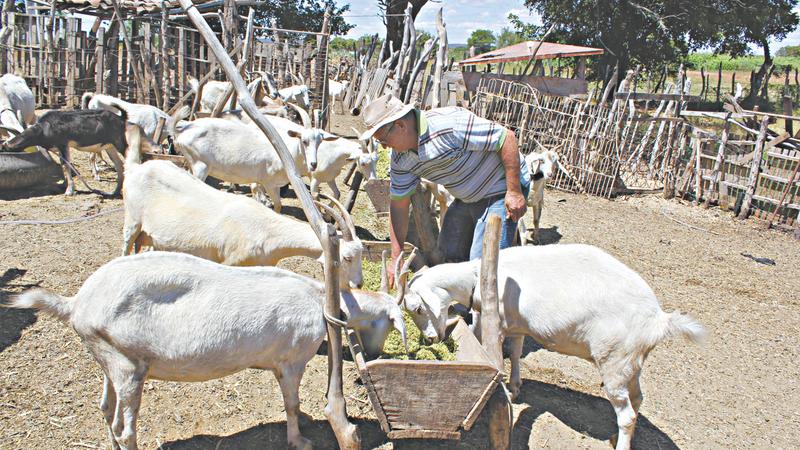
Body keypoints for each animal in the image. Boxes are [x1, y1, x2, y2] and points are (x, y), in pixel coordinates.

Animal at [11, 251, 410, 450]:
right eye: (390, 323)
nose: (375, 354)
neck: (321, 300)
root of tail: (77, 304)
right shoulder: (292, 359)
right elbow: (292, 403)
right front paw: (300, 441)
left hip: (109, 358)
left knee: (106, 410)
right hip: (127, 367)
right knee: (124, 429)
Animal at [404, 244, 704, 450]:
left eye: (418, 308)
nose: (430, 340)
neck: (478, 278)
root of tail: (658, 320)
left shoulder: (496, 324)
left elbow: (496, 351)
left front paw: (506, 390)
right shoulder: (517, 325)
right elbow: (516, 352)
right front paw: (515, 387)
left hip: (614, 361)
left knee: (628, 413)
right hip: (632, 362)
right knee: (638, 399)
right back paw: (613, 436)